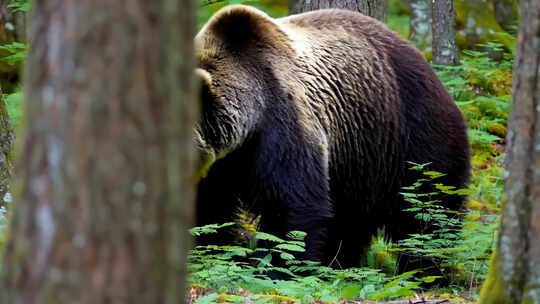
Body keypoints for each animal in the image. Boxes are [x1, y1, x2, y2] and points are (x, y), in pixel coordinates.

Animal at [194, 5, 468, 270]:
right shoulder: (222, 165)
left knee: (427, 213)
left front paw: (280, 268)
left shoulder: (282, 126)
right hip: (360, 162)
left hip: (411, 137)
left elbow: (292, 209)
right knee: (350, 224)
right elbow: (210, 212)